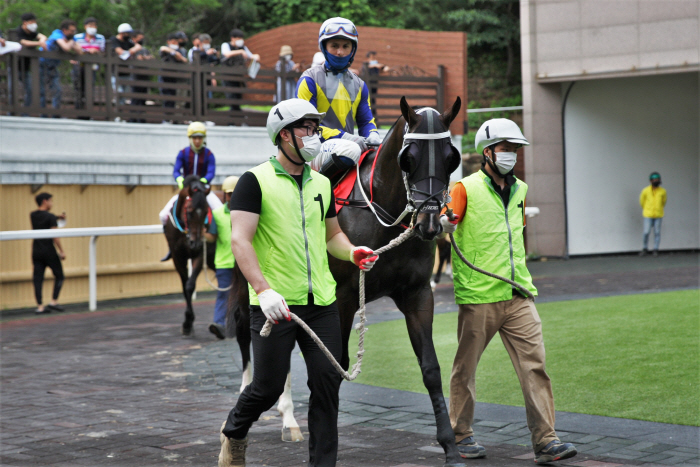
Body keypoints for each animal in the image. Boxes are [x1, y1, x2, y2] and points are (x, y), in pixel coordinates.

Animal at [163, 176, 215, 336]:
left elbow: (190, 285)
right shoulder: (177, 257)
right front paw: (188, 322)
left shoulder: (200, 254)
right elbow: (184, 285)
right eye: (190, 211)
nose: (195, 243)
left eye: (205, 213)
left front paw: (188, 321)